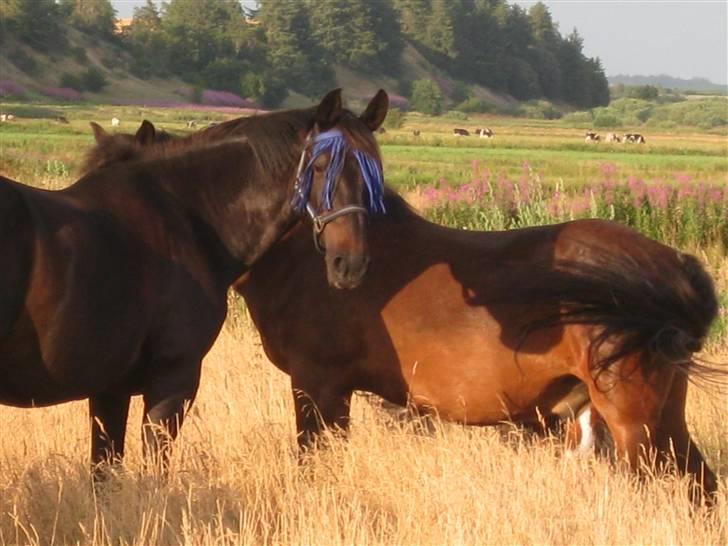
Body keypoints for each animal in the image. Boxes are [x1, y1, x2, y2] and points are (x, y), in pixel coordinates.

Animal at [0, 87, 392, 470]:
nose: (350, 263)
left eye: (375, 173)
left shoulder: (110, 390)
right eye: (322, 166)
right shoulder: (173, 381)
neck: (186, 214)